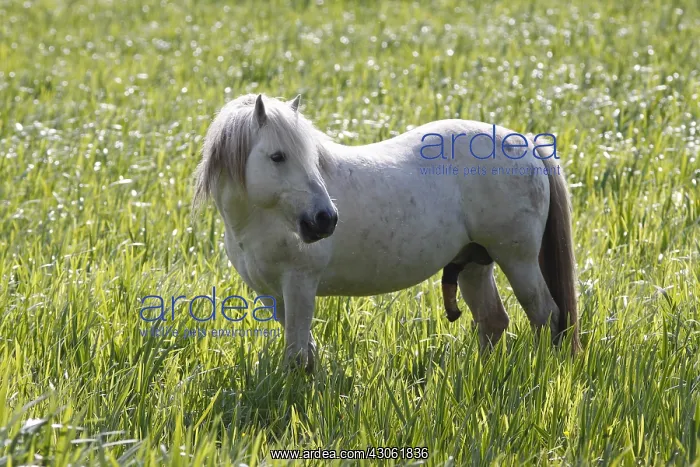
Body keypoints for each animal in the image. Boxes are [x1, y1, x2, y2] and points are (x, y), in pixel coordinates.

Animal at [193, 93, 580, 372]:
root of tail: (527, 144)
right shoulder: (270, 293)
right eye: (277, 157)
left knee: (545, 314)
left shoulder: (300, 283)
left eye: (311, 158)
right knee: (493, 321)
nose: (325, 220)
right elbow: (306, 349)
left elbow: (297, 351)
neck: (260, 220)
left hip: (518, 260)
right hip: (474, 263)